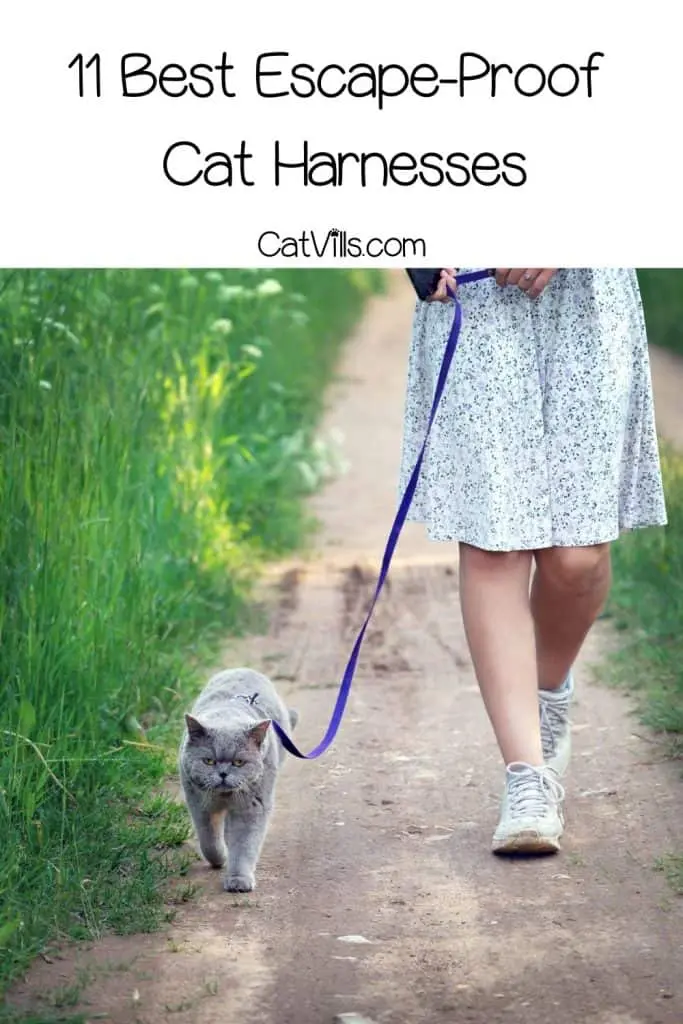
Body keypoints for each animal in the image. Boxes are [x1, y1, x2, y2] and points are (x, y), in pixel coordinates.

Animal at [180, 667, 296, 892]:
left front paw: (238, 880)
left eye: (239, 762)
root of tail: (246, 669)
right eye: (208, 761)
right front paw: (220, 858)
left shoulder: (252, 808)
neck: (224, 797)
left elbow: (243, 846)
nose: (223, 773)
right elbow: (209, 840)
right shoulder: (199, 804)